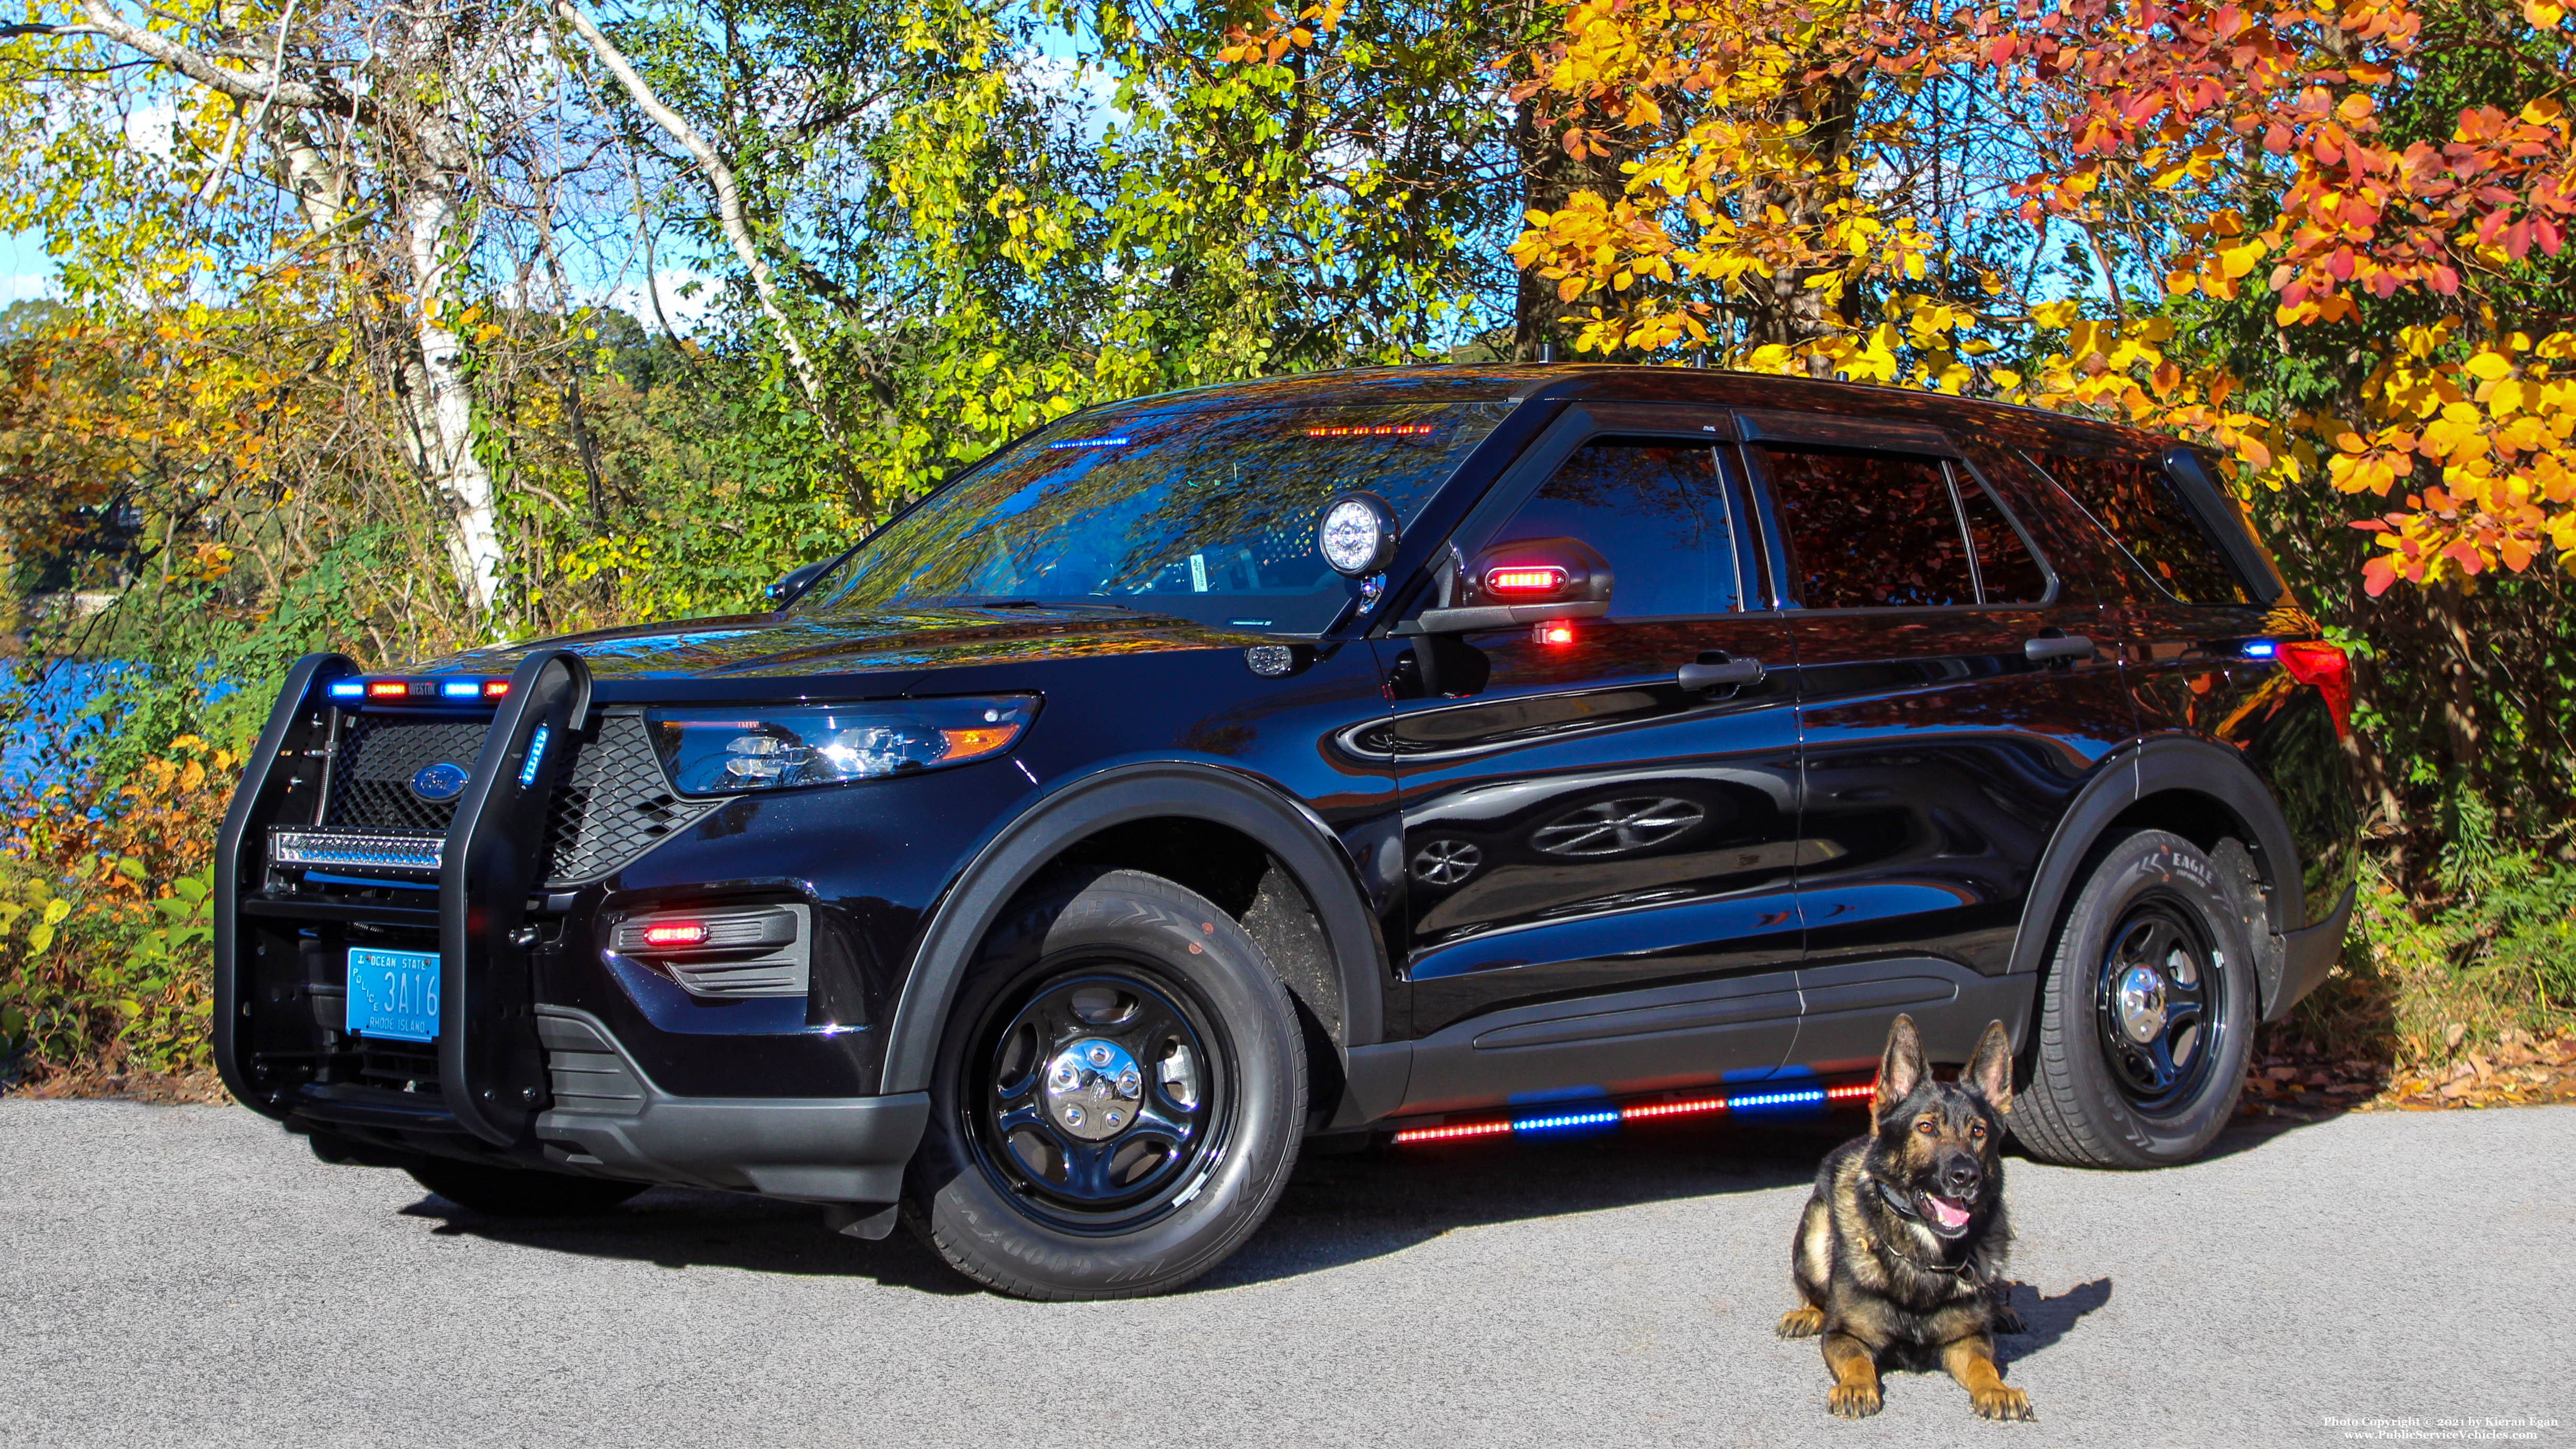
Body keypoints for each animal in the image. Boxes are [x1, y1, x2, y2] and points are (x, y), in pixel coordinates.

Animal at [1772, 1011, 2029, 1412]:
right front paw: (1856, 1386)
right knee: (1815, 1292)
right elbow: (1858, 1362)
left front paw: (1997, 1390)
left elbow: (1983, 1366)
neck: (1923, 1259)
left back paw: (2002, 1310)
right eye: (1925, 1127)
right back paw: (1808, 1313)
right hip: (1814, 1236)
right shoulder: (1844, 1335)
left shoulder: (1967, 1341)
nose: (1966, 1176)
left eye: (1978, 1132)